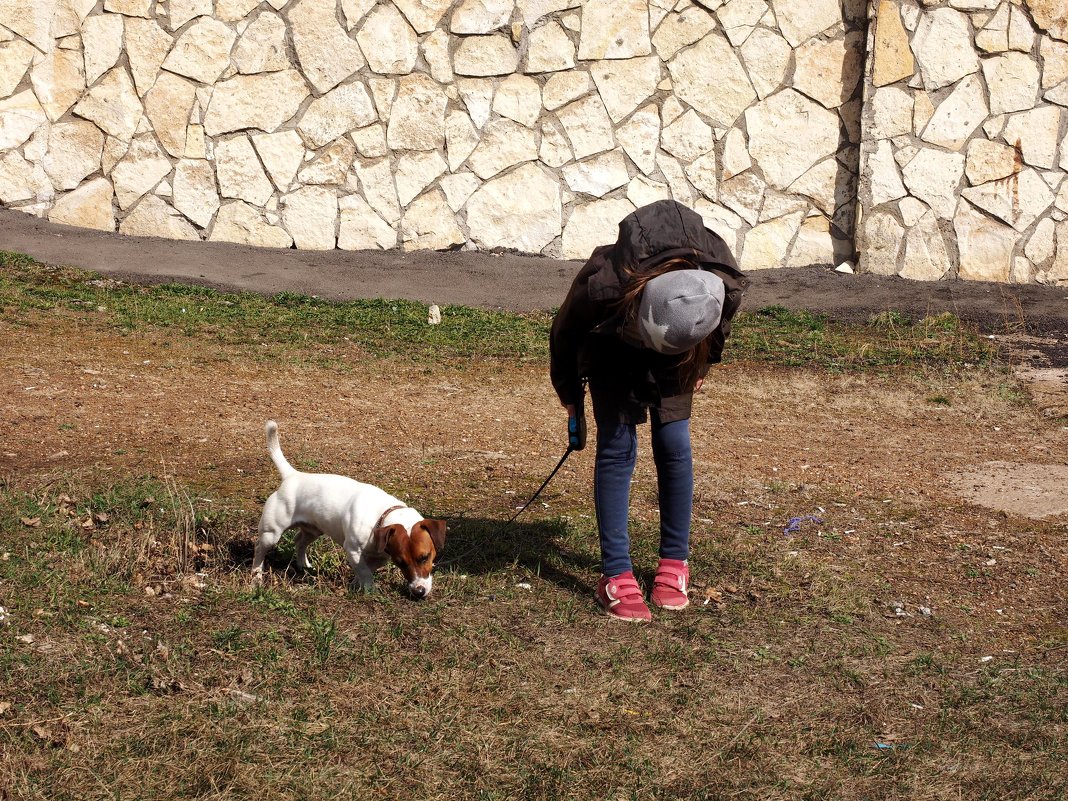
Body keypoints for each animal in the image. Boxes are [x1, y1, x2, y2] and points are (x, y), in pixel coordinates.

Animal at [250, 422, 446, 598]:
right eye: (400, 562)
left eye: (425, 557)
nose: (419, 592)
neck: (380, 516)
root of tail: (292, 475)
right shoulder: (352, 550)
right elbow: (365, 572)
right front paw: (369, 590)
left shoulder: (380, 556)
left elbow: (365, 570)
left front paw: (355, 584)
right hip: (271, 533)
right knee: (260, 549)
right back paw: (257, 577)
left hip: (314, 529)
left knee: (299, 541)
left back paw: (304, 565)